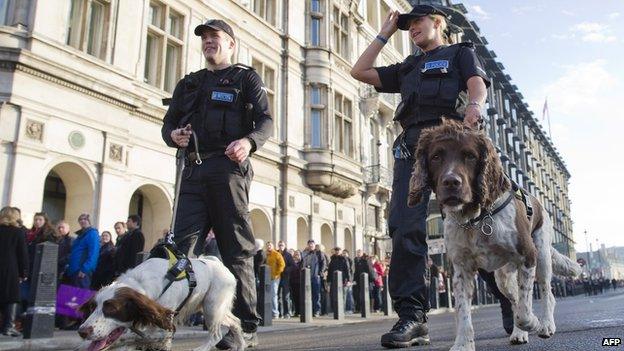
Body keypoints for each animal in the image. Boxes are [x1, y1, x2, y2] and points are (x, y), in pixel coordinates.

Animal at [410, 119, 580, 350]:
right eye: (436, 156)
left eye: (470, 156)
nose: (451, 182)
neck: (475, 218)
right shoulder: (461, 269)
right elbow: (463, 312)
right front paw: (463, 344)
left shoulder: (528, 256)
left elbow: (525, 311)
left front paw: (533, 323)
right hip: (503, 277)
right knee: (515, 298)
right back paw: (519, 334)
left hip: (542, 255)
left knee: (546, 292)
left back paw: (545, 325)